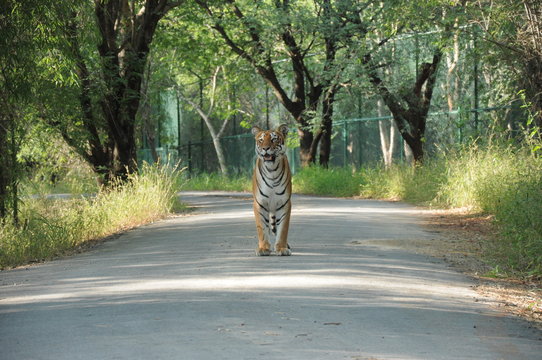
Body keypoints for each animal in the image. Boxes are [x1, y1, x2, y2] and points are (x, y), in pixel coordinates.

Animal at [252, 124, 294, 256]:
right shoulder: (260, 203)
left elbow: (283, 229)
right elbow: (262, 229)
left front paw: (281, 248)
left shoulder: (284, 203)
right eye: (261, 140)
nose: (265, 148)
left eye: (274, 139)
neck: (272, 171)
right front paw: (263, 248)